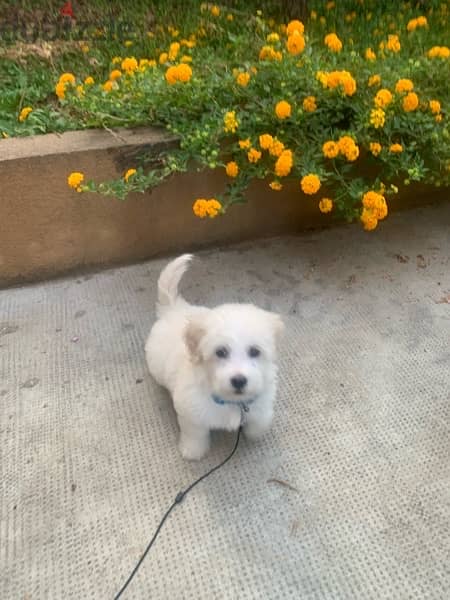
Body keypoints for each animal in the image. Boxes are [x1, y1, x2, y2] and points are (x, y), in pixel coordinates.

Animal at [146, 253, 284, 460]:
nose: (239, 380)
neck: (232, 402)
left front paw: (255, 434)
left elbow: (261, 421)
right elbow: (195, 434)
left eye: (254, 351)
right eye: (221, 352)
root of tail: (174, 309)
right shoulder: (191, 412)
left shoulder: (262, 401)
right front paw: (193, 451)